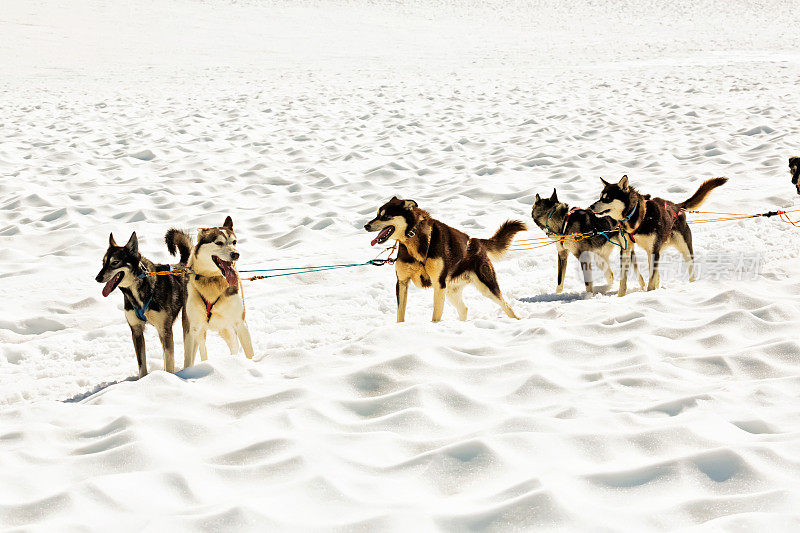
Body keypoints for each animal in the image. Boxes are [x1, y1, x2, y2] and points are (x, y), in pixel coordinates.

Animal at [95, 228, 191, 374]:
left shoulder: (165, 330)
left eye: (115, 262)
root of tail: (184, 265)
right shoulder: (136, 331)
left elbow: (169, 362)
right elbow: (142, 365)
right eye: (103, 262)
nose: (97, 278)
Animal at [183, 215, 255, 366]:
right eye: (219, 243)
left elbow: (249, 353)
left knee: (234, 345)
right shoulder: (191, 329)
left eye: (234, 242)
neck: (212, 280)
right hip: (201, 332)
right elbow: (188, 361)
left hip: (227, 329)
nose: (236, 254)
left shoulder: (240, 323)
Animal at [362, 195, 524, 320]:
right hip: (451, 291)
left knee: (506, 306)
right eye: (377, 214)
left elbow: (436, 315)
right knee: (464, 309)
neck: (414, 240)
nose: (366, 226)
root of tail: (476, 241)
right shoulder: (402, 282)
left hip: (486, 286)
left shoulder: (438, 284)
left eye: (385, 216)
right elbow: (400, 315)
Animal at [584, 175, 728, 296]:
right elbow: (623, 280)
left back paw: (692, 285)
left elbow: (651, 280)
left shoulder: (654, 250)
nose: (591, 206)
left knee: (690, 268)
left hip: (683, 248)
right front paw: (621, 296)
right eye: (600, 196)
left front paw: (649, 294)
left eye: (607, 198)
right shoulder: (626, 250)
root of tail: (676, 207)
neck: (637, 217)